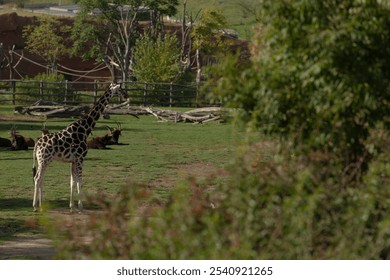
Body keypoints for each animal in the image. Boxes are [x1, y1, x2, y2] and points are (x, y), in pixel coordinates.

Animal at [32, 83, 128, 212]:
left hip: (43, 161)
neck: (85, 129)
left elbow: (72, 181)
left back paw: (41, 205)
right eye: (119, 89)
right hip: (43, 160)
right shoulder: (80, 158)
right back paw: (35, 206)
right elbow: (80, 181)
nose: (126, 95)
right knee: (37, 179)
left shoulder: (73, 160)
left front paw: (72, 207)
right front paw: (81, 207)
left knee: (40, 179)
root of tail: (37, 143)